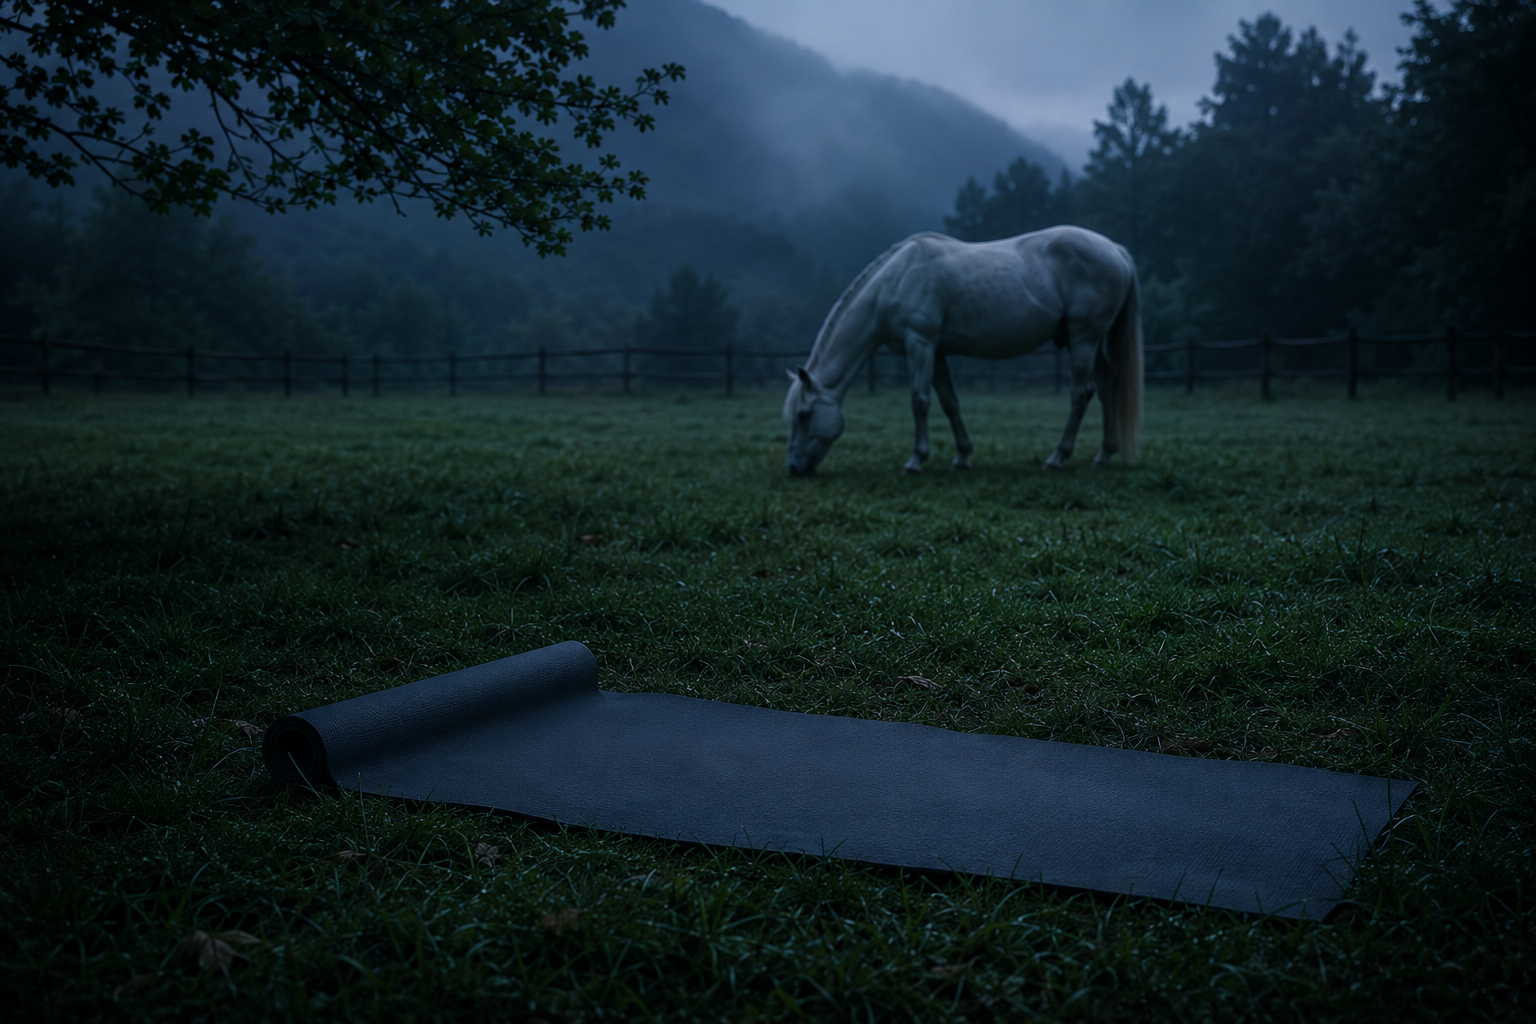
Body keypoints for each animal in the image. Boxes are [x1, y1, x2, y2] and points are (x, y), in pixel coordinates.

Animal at [783, 225, 1143, 475]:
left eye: (804, 414)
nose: (795, 469)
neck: (895, 282)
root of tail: (1116, 250)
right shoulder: (937, 351)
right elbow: (948, 402)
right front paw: (962, 457)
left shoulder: (920, 344)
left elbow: (920, 402)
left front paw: (915, 461)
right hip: (1091, 342)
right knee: (1107, 388)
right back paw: (1104, 455)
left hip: (1083, 339)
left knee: (1081, 394)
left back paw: (1057, 458)